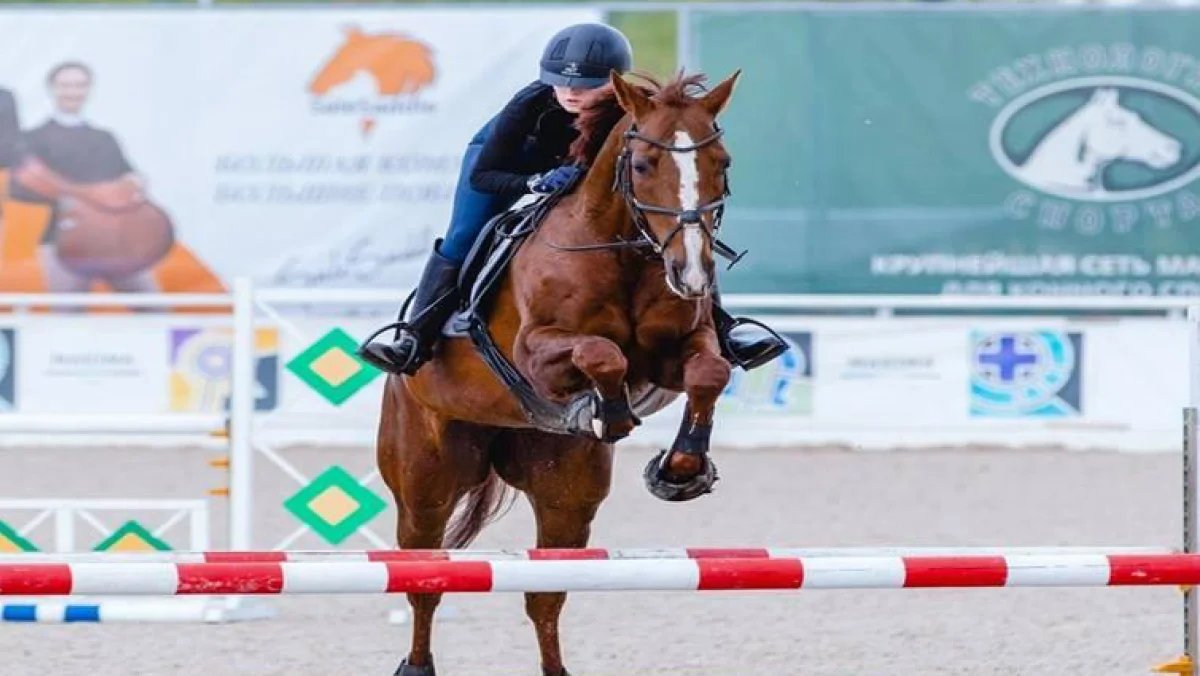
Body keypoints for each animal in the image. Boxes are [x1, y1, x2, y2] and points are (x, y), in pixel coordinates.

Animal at [376, 69, 742, 676]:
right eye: (644, 165)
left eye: (723, 161)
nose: (691, 273)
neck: (624, 251)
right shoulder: (535, 352)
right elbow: (601, 354)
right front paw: (603, 413)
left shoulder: (681, 350)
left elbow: (709, 373)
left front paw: (681, 468)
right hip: (426, 480)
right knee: (425, 578)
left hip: (565, 491)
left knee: (545, 594)